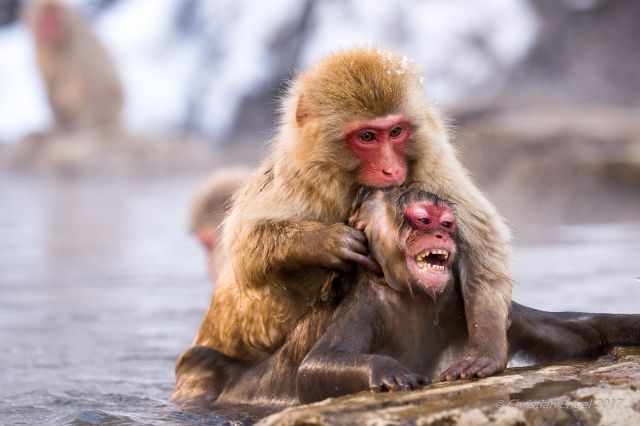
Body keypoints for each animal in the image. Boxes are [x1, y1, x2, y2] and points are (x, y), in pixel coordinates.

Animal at [24, 0, 124, 133]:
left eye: (55, 19)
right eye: (44, 19)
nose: (49, 29)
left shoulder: (79, 47)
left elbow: (95, 83)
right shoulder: (40, 50)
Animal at [188, 48, 512, 382]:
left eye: (396, 132)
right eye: (367, 137)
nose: (391, 170)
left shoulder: (433, 168)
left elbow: (482, 239)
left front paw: (486, 345)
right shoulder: (298, 179)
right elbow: (245, 248)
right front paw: (326, 242)